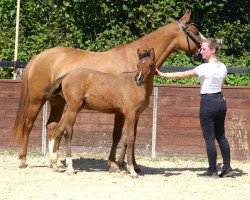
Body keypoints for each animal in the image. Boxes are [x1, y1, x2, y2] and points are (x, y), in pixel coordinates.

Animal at [44, 49, 155, 177]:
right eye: (137, 65)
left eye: (150, 65)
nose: (138, 79)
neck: (137, 88)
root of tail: (66, 75)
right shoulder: (130, 115)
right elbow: (130, 139)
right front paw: (131, 170)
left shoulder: (134, 116)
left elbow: (126, 139)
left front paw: (122, 167)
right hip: (73, 109)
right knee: (68, 132)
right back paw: (70, 167)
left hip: (72, 108)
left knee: (59, 129)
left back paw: (55, 164)